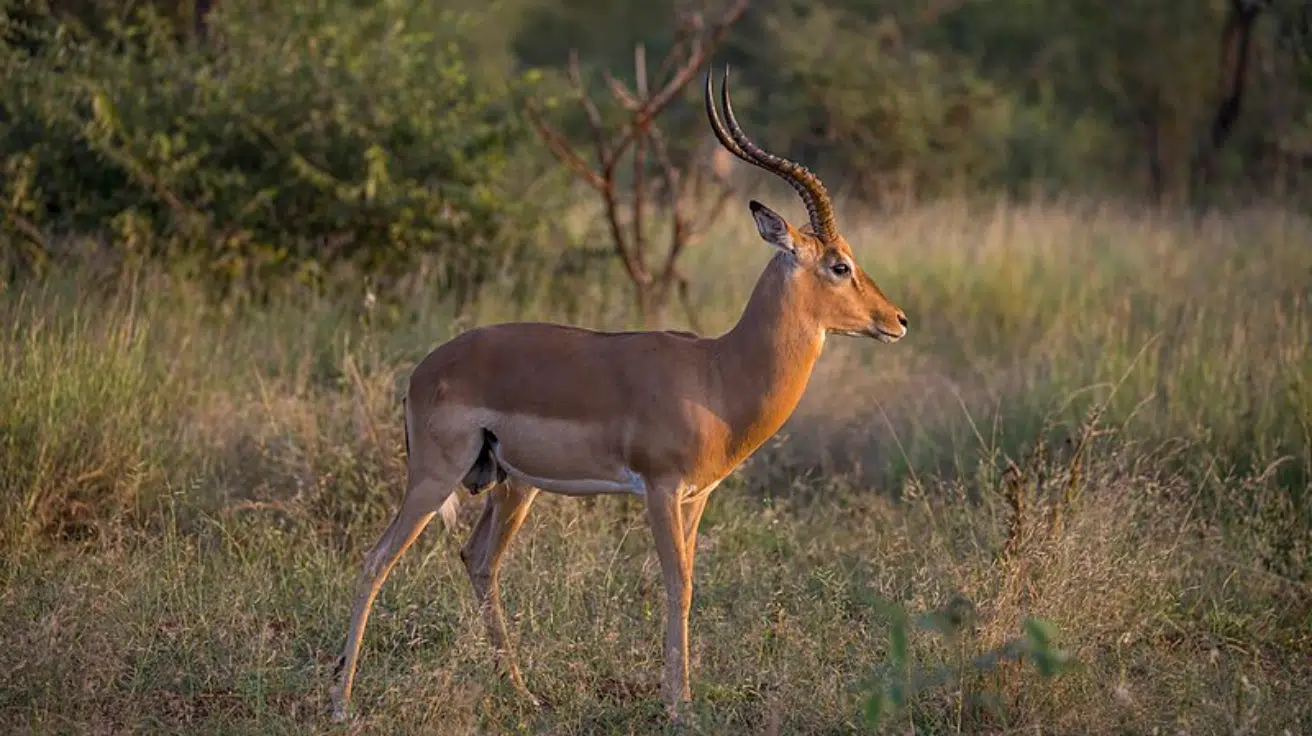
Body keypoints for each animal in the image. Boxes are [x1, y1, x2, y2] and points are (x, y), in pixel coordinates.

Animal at [329, 67, 909, 722]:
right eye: (840, 265)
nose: (897, 320)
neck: (717, 372)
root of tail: (423, 370)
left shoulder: (696, 498)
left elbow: (689, 583)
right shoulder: (659, 490)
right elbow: (676, 584)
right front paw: (680, 706)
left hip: (512, 484)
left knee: (478, 562)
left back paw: (524, 694)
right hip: (435, 477)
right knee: (376, 561)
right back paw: (341, 702)